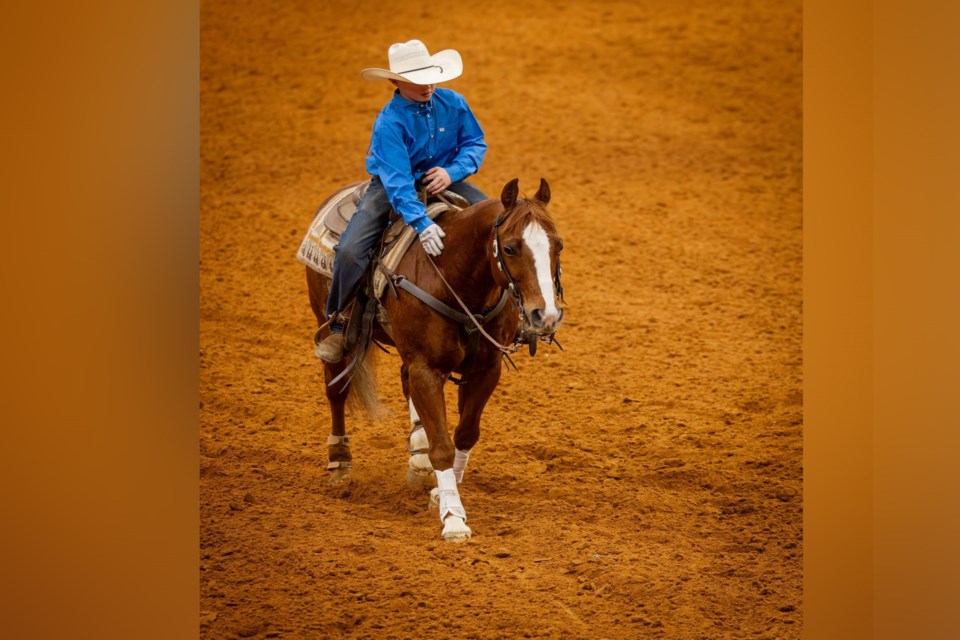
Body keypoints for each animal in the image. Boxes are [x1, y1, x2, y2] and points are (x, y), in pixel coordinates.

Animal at [306, 178, 564, 544]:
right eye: (511, 248)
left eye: (559, 245)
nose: (547, 315)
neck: (453, 277)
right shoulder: (426, 368)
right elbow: (442, 445)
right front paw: (453, 519)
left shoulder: (485, 370)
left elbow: (464, 434)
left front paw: (439, 492)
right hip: (328, 324)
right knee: (336, 390)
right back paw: (340, 463)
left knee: (404, 382)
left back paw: (417, 453)